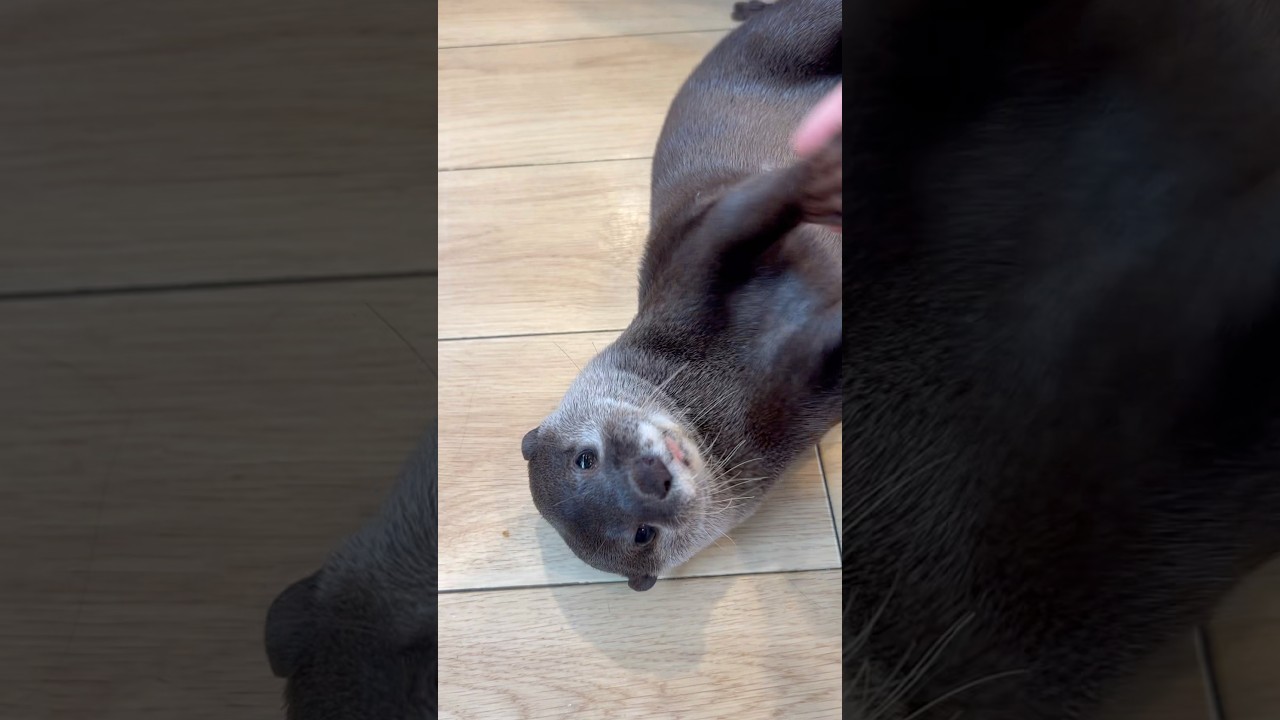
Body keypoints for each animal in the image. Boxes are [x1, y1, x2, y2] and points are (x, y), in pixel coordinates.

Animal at [521, 0, 843, 592]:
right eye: (642, 534)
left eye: (584, 459)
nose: (651, 479)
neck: (731, 373)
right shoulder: (804, 406)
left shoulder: (690, 260)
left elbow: (744, 212)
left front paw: (815, 175)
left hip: (788, 35)